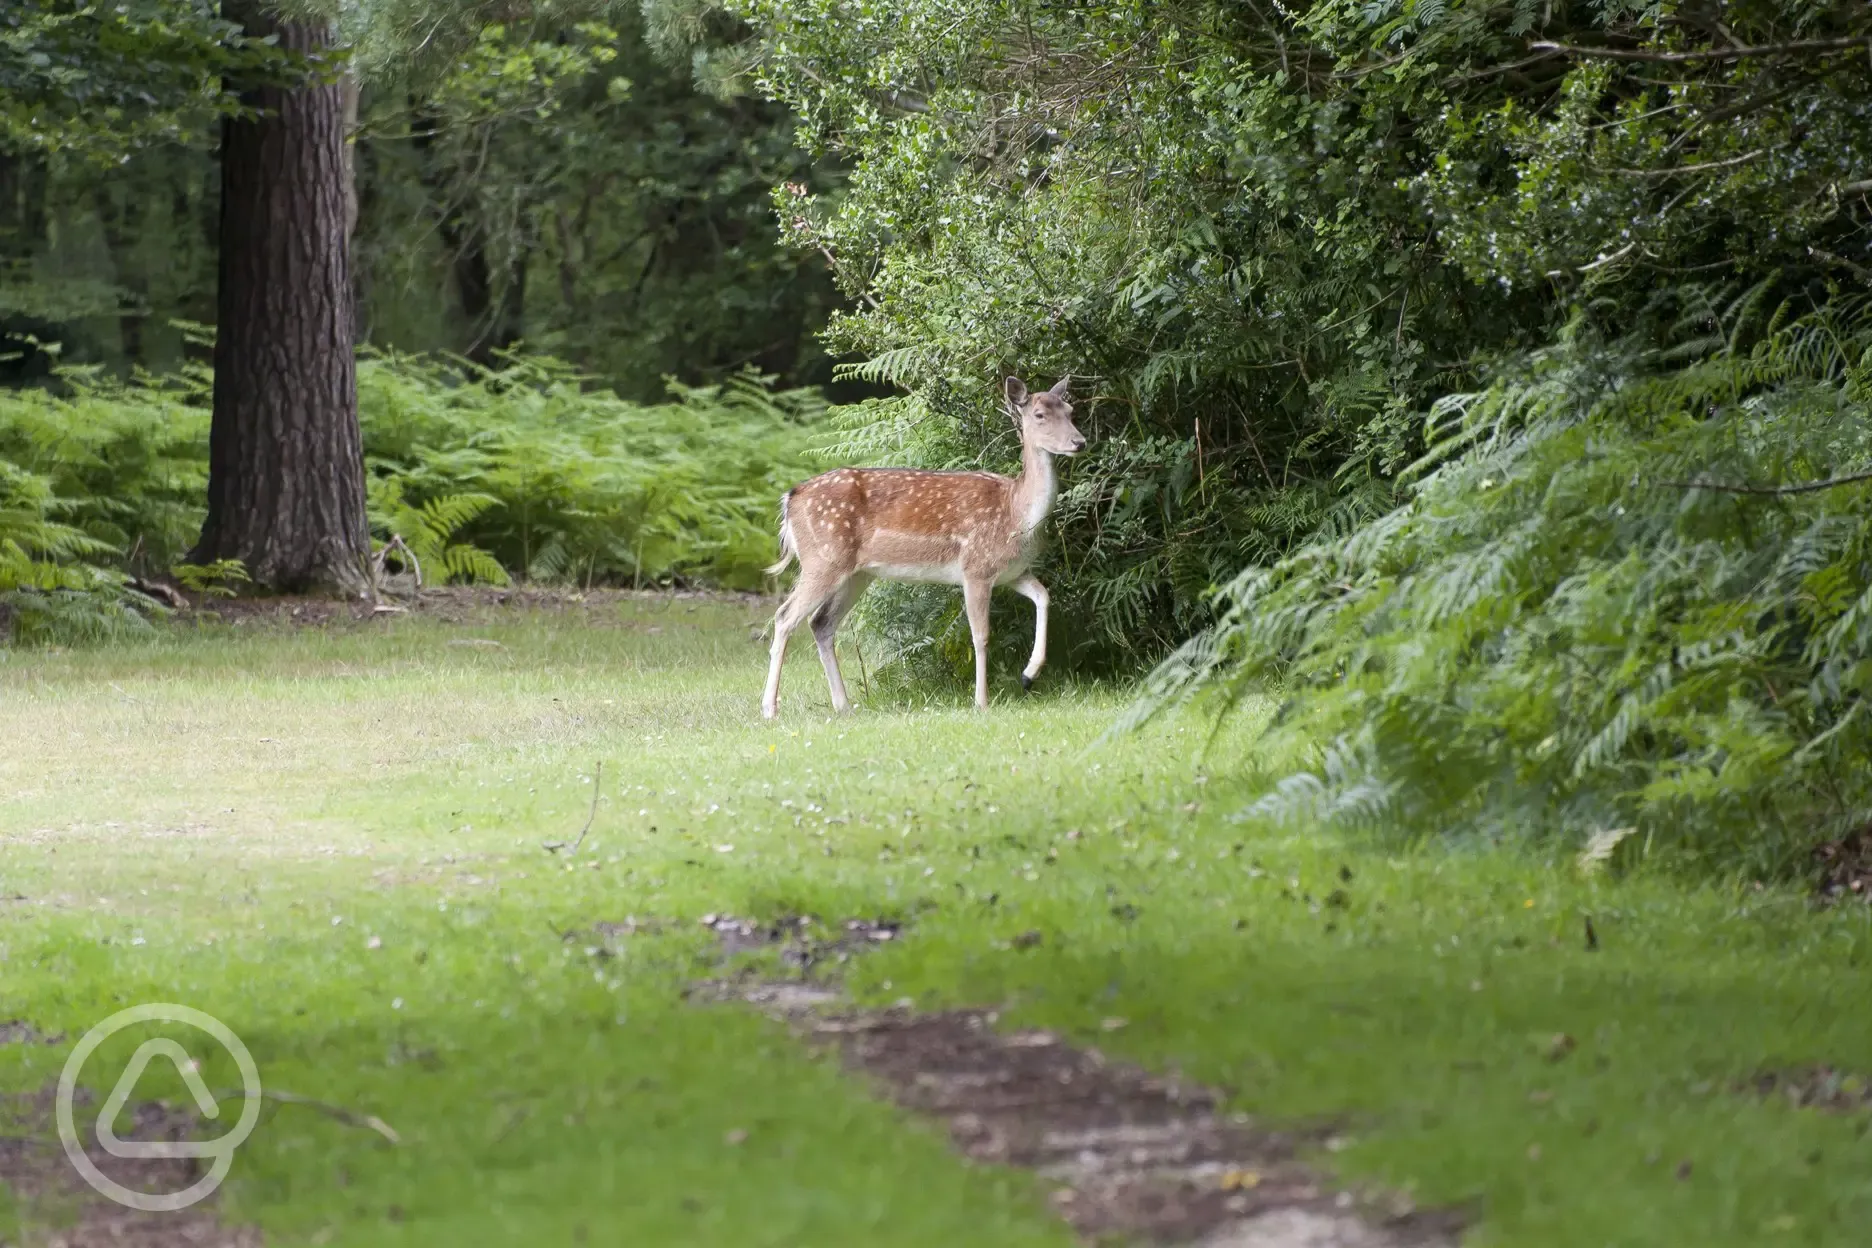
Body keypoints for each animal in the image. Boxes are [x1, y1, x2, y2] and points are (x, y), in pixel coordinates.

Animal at [756, 376, 1085, 718]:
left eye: (1070, 410)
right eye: (1039, 415)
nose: (1080, 442)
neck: (1016, 514)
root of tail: (790, 499)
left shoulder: (1013, 572)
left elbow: (1044, 596)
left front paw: (1028, 674)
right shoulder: (975, 567)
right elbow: (980, 635)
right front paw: (981, 702)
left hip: (857, 573)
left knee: (820, 622)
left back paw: (844, 706)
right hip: (822, 559)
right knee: (784, 617)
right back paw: (769, 708)